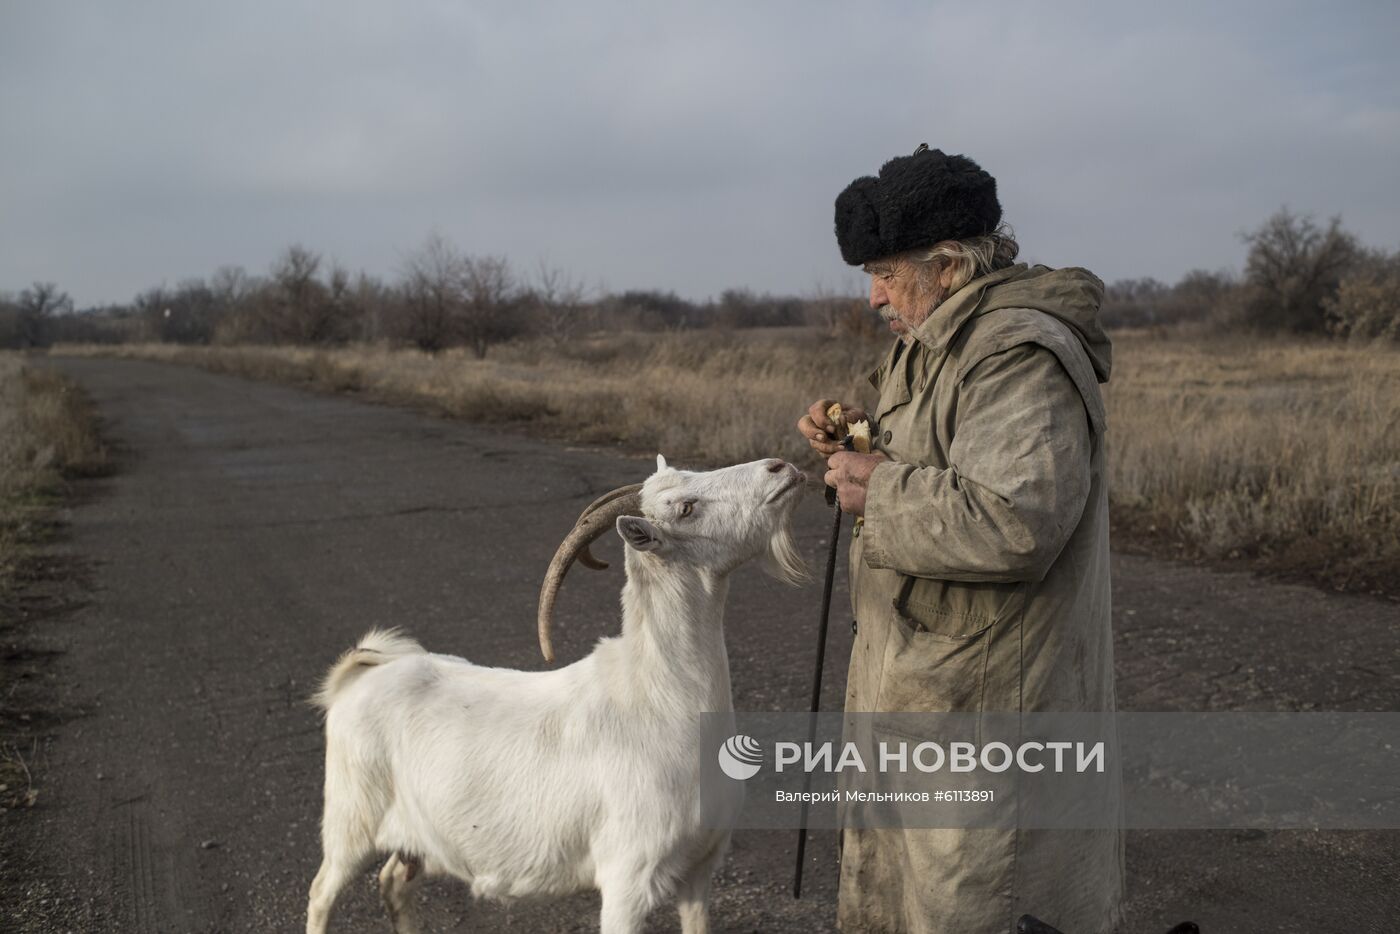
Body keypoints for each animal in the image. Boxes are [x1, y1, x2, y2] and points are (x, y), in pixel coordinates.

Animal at [306, 450, 812, 929]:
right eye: (686, 507)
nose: (779, 467)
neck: (661, 698)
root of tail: (364, 673)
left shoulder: (699, 870)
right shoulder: (628, 879)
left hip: (418, 841)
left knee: (394, 881)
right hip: (350, 823)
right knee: (321, 893)